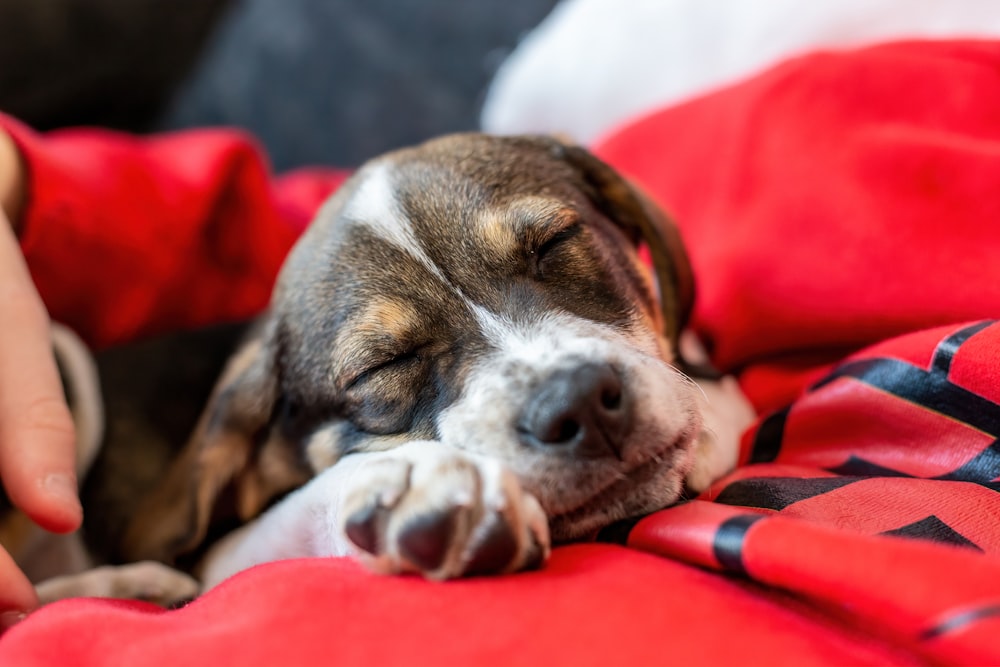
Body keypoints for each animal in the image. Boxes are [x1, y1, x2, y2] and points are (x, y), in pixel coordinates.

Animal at [3, 134, 752, 600]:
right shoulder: (216, 555)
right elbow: (305, 506)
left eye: (556, 243)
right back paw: (126, 584)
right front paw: (415, 482)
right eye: (381, 368)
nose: (580, 404)